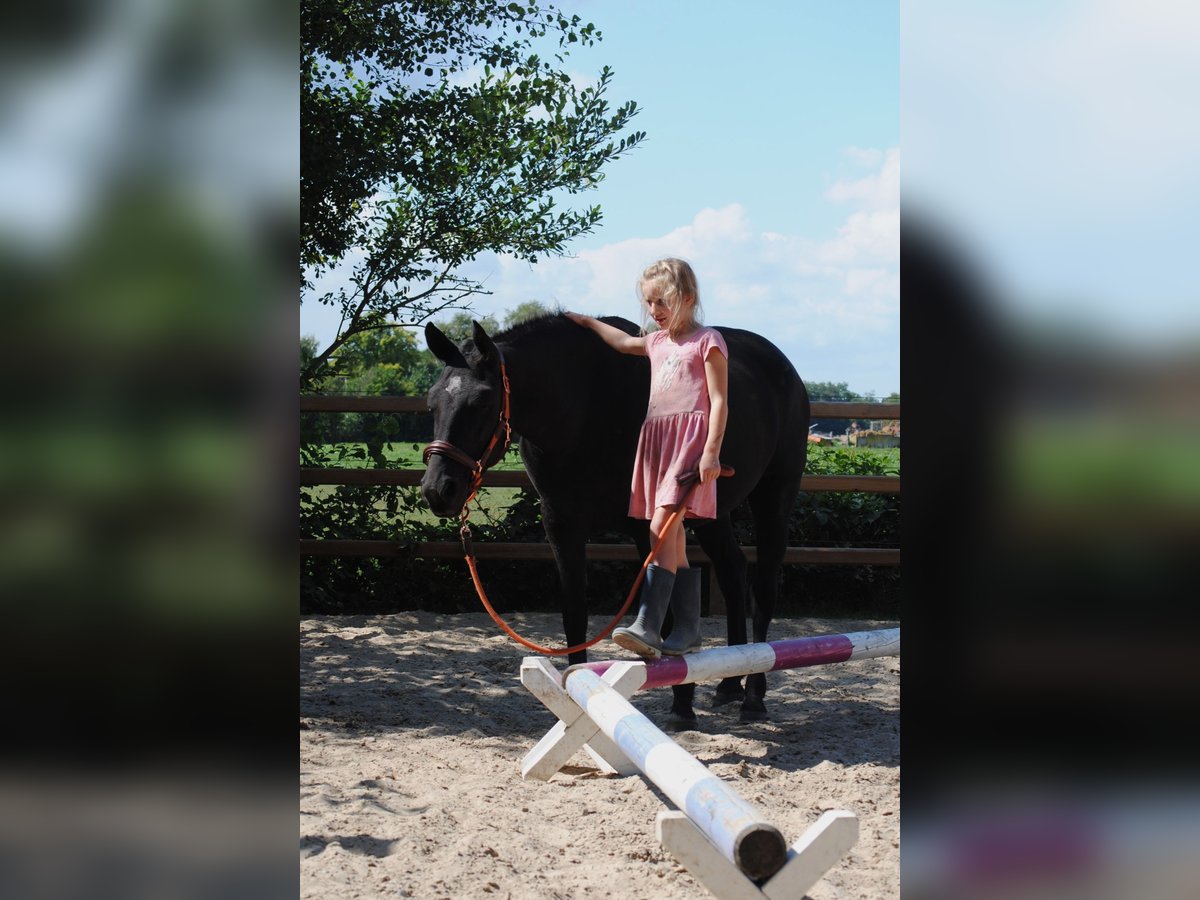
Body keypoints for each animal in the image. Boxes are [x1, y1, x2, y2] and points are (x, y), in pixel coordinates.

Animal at [420, 314, 810, 727]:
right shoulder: (561, 525)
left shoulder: (646, 527)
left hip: (774, 499)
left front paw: (682, 705)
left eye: (480, 400)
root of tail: (784, 368)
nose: (438, 489)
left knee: (763, 589)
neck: (584, 410)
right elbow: (574, 612)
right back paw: (729, 684)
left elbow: (663, 611)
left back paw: (753, 695)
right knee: (733, 572)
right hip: (711, 514)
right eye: (432, 402)